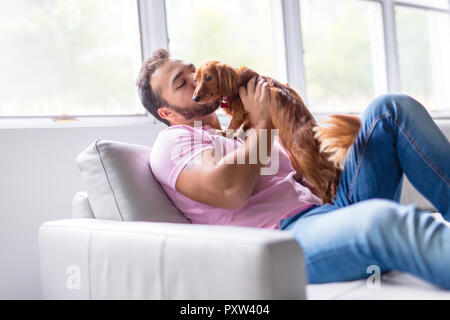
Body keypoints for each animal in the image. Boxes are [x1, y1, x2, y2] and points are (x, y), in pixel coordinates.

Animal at [192, 60, 360, 205]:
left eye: (208, 77)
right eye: (196, 79)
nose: (195, 98)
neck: (239, 82)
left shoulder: (240, 112)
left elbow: (233, 125)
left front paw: (223, 133)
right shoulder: (250, 117)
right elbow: (245, 126)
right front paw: (239, 134)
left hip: (306, 160)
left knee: (327, 184)